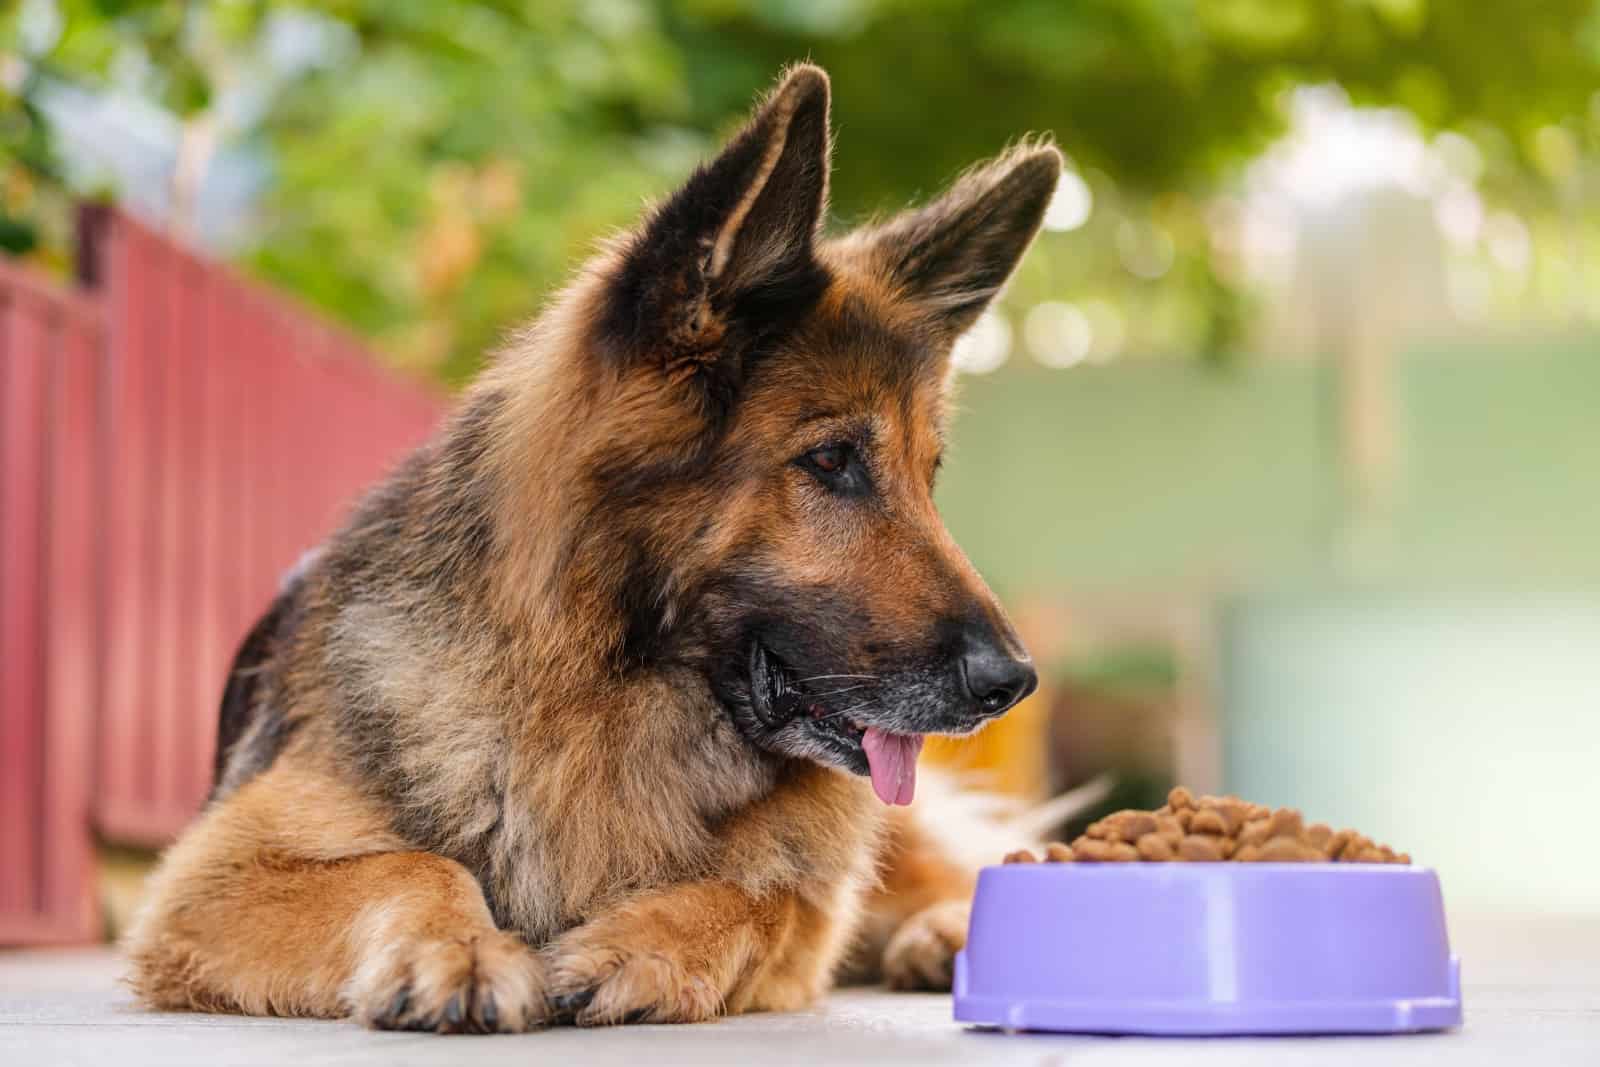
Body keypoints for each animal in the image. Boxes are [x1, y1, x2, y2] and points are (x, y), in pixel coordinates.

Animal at [131, 66, 1056, 1036]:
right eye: (833, 459)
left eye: (928, 473)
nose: (1013, 682)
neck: (598, 697)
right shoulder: (211, 878)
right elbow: (413, 861)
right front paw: (460, 949)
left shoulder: (807, 903)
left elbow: (759, 895)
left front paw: (640, 945)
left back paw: (950, 932)